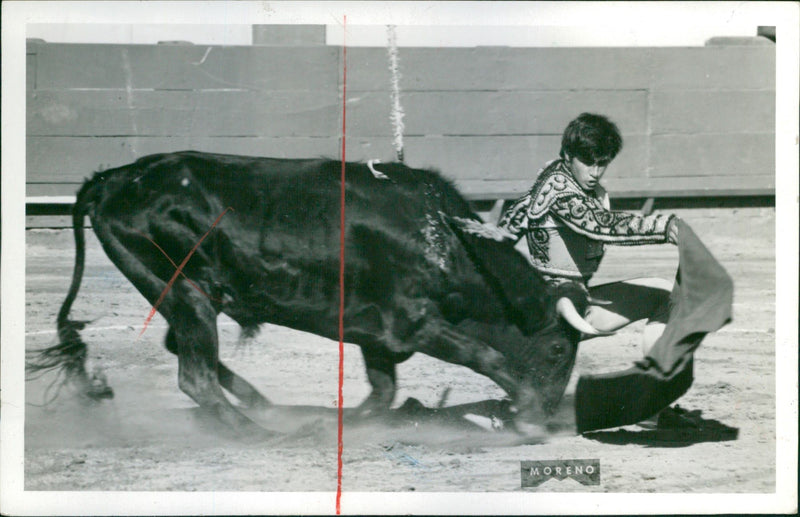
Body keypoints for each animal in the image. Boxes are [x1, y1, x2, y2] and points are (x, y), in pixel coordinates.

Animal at [32, 150, 608, 436]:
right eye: (558, 349)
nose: (554, 414)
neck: (442, 235)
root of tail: (114, 178)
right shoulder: (415, 324)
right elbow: (488, 356)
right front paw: (528, 416)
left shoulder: (380, 334)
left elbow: (383, 392)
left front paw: (354, 422)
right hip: (185, 293)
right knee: (193, 374)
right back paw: (258, 432)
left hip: (186, 296)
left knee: (186, 352)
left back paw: (270, 410)